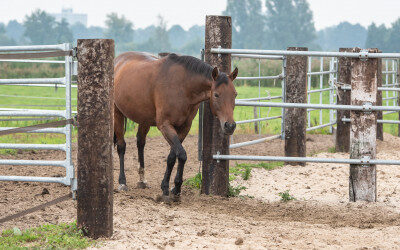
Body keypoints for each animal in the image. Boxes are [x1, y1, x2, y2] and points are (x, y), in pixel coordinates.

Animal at [112, 52, 238, 201]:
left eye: (235, 94)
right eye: (217, 94)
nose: (230, 125)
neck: (183, 86)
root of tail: (118, 60)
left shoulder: (184, 128)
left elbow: (172, 157)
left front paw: (168, 187)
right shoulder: (165, 126)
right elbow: (182, 154)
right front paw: (175, 188)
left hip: (144, 120)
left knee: (140, 143)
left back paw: (142, 180)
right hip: (117, 113)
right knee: (121, 146)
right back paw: (122, 182)